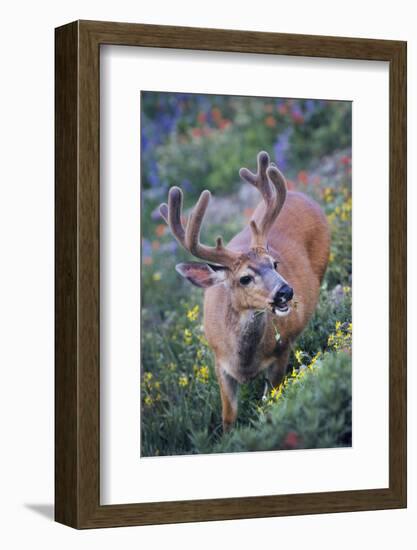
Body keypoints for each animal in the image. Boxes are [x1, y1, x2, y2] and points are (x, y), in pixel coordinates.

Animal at [158, 151, 328, 432]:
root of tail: (299, 194)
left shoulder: (281, 351)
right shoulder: (219, 361)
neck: (245, 363)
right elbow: (228, 416)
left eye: (274, 263)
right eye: (245, 278)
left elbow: (271, 399)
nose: (286, 291)